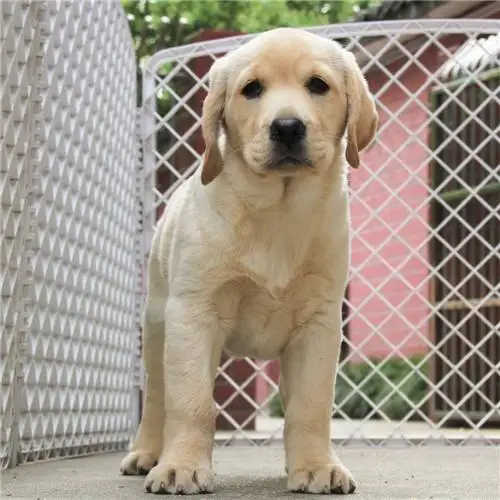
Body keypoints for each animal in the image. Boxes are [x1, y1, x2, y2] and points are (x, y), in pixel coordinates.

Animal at [122, 25, 378, 494]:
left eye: (318, 85)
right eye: (252, 89)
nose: (288, 127)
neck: (277, 210)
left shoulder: (319, 323)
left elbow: (310, 406)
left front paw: (315, 466)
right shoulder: (193, 316)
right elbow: (192, 403)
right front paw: (182, 466)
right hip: (158, 327)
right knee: (159, 400)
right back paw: (147, 453)